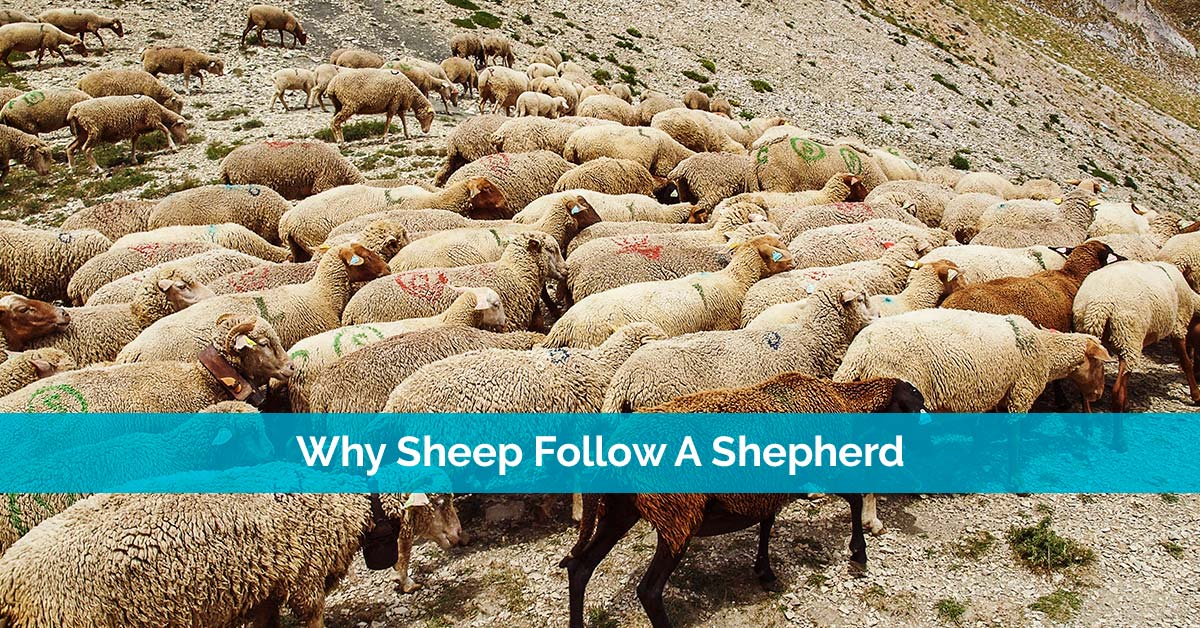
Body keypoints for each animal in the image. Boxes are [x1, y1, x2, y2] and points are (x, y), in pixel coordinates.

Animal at [0, 491, 461, 627]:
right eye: (440, 501)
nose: (460, 536)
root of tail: (10, 581)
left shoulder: (266, 587)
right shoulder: (306, 580)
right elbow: (313, 618)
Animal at [278, 177, 507, 257]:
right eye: (487, 188)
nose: (505, 202)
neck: (433, 201)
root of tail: (286, 220)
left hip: (298, 248)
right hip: (311, 238)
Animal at [834, 308, 1111, 413]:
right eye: (1099, 363)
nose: (1098, 395)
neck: (1044, 349)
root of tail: (860, 352)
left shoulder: (999, 393)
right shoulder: (1021, 392)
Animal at [1074, 261, 1200, 417]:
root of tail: (1099, 304)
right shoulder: (1178, 325)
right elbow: (1186, 363)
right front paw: (1196, 395)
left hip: (1101, 339)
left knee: (1086, 389)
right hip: (1128, 336)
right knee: (1116, 392)